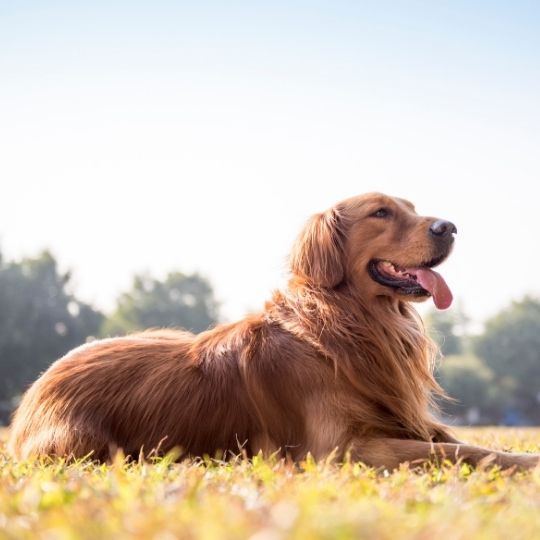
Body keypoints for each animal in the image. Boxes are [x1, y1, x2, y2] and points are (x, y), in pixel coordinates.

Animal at [8, 193, 540, 468]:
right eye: (381, 212)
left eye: (410, 206)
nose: (450, 226)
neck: (352, 325)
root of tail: (34, 393)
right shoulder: (342, 449)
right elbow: (463, 450)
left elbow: (466, 442)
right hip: (83, 444)